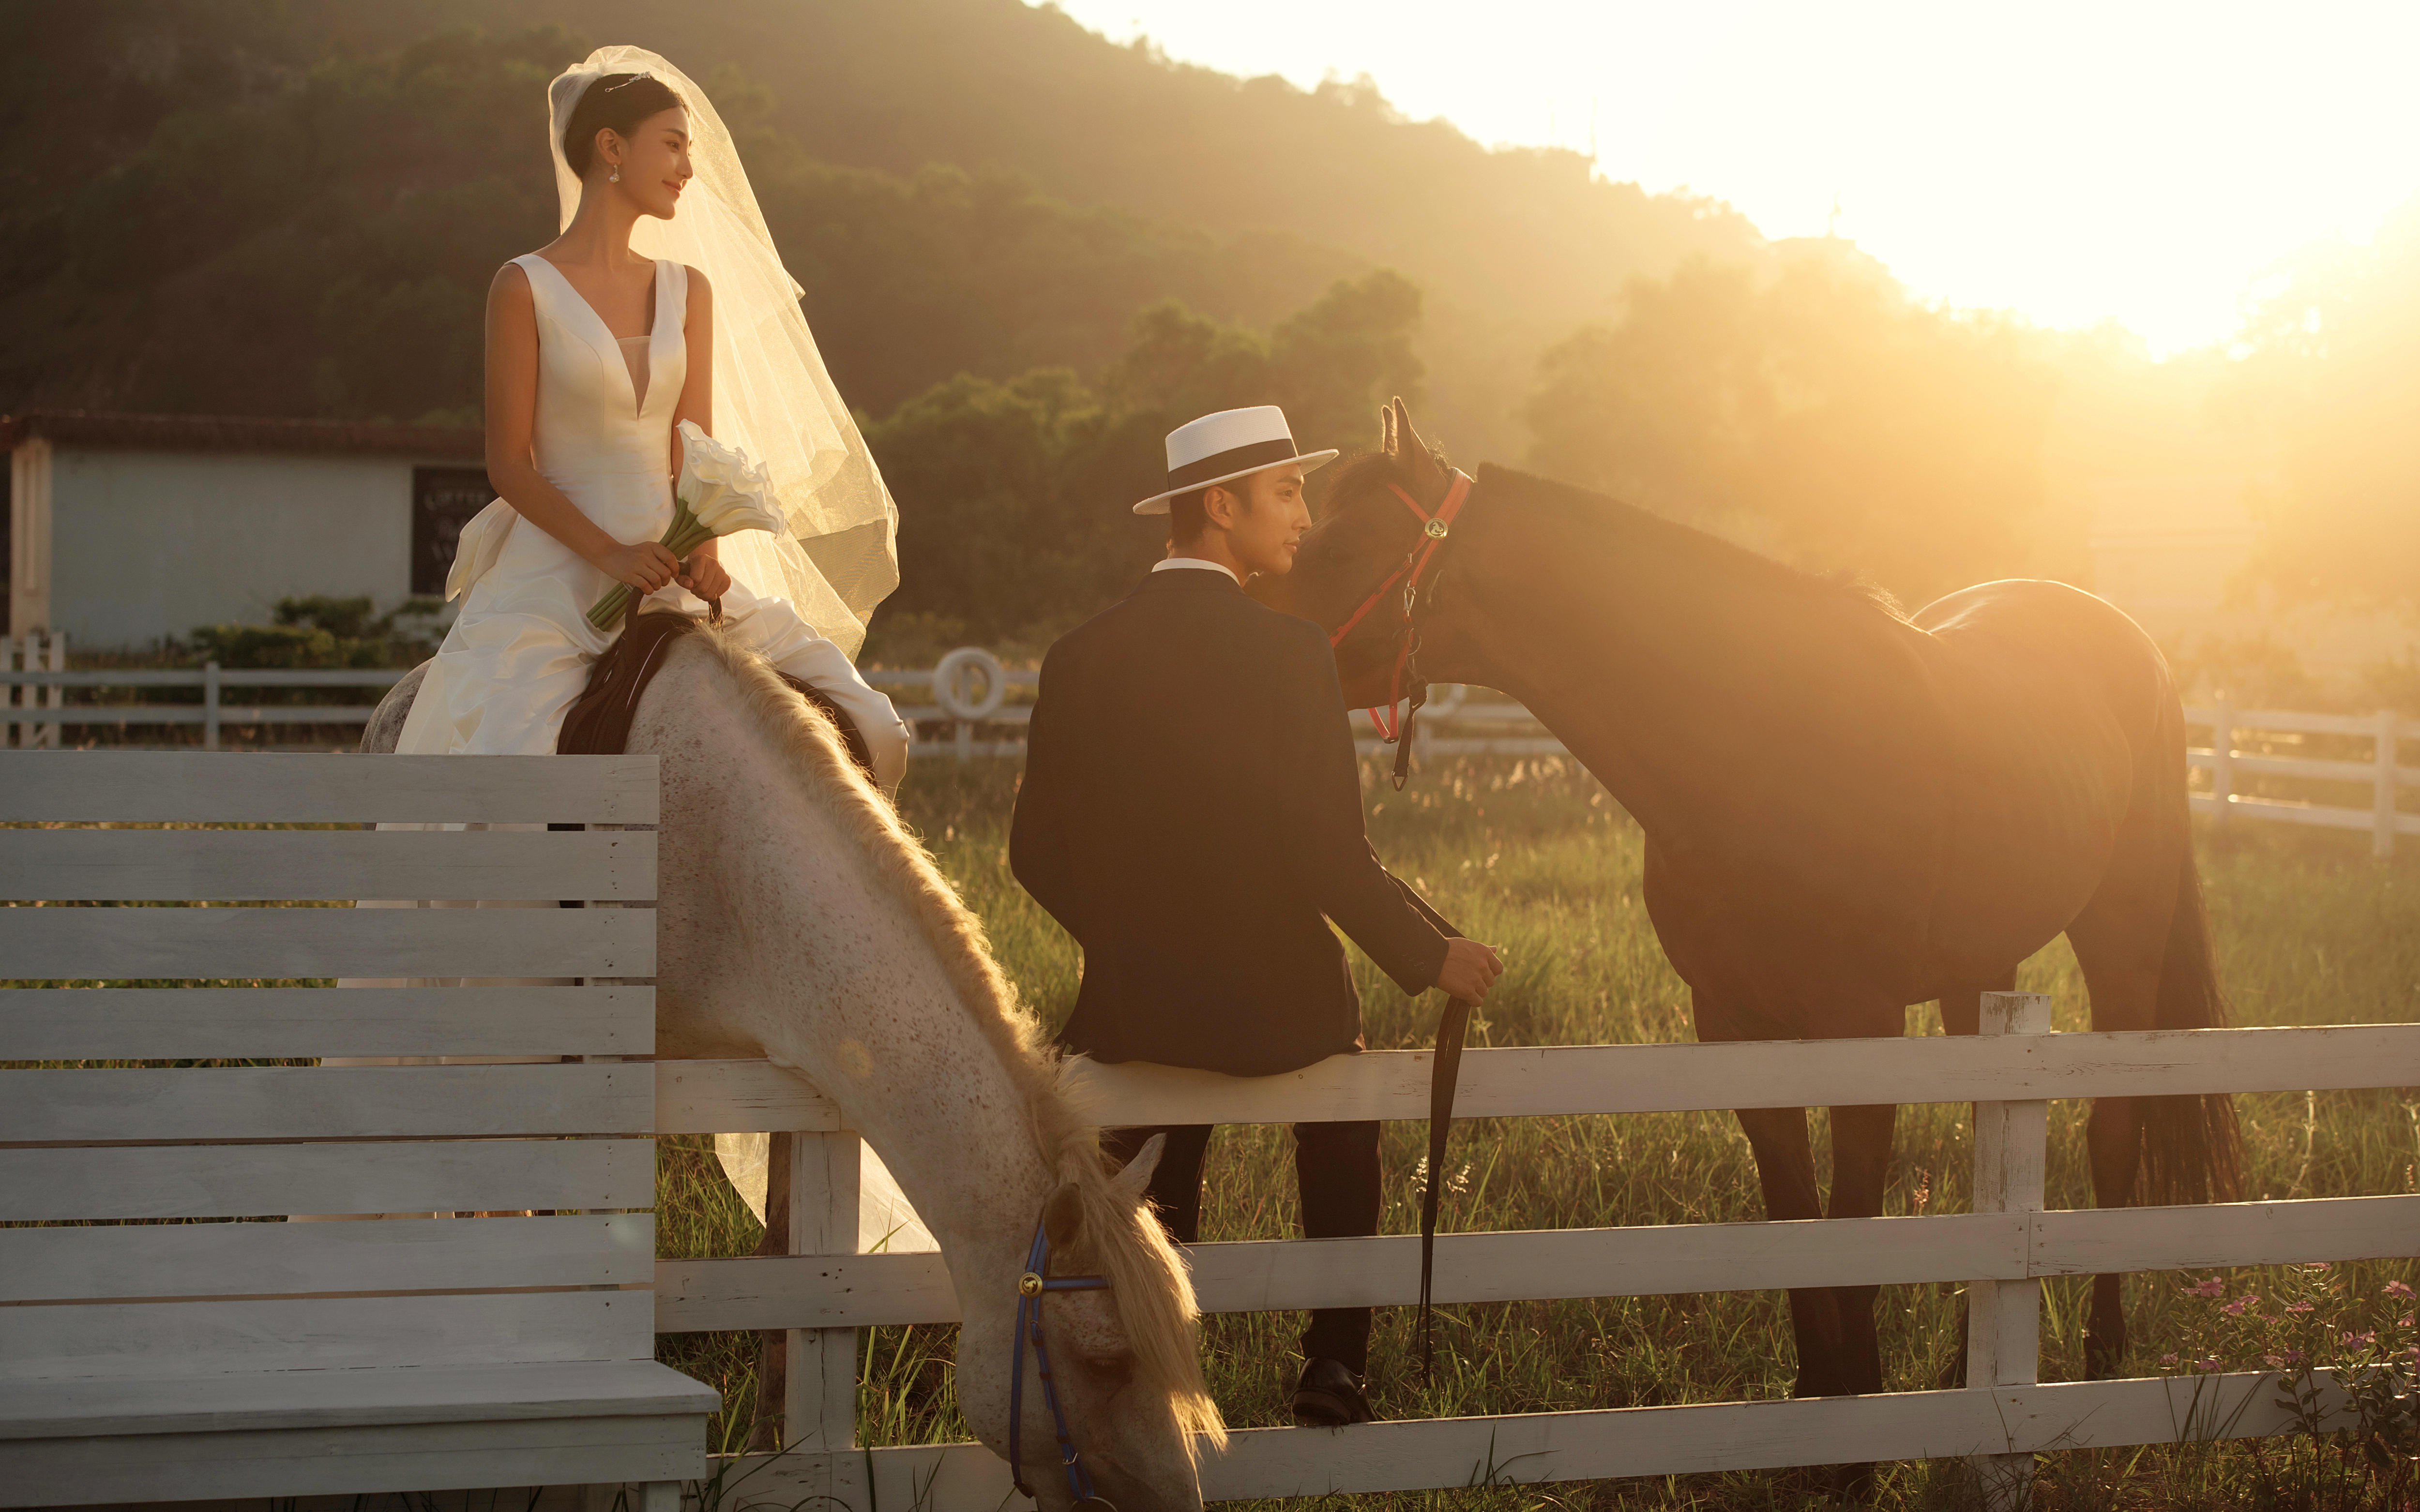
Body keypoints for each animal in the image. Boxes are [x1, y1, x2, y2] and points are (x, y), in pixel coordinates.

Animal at [365, 619, 1220, 1500]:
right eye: (1106, 1361)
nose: (1183, 1502)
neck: (727, 856)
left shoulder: (788, 1071)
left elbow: (780, 1258)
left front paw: (772, 1439)